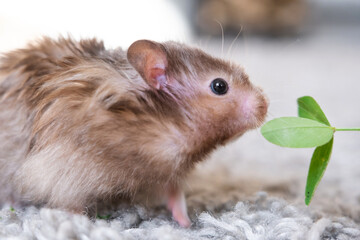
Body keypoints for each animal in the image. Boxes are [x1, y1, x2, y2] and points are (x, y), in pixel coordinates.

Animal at [0, 37, 268, 227]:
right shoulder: (66, 167)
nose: (264, 106)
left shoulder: (168, 170)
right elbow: (69, 203)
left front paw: (187, 223)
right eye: (219, 86)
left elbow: (176, 196)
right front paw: (84, 224)